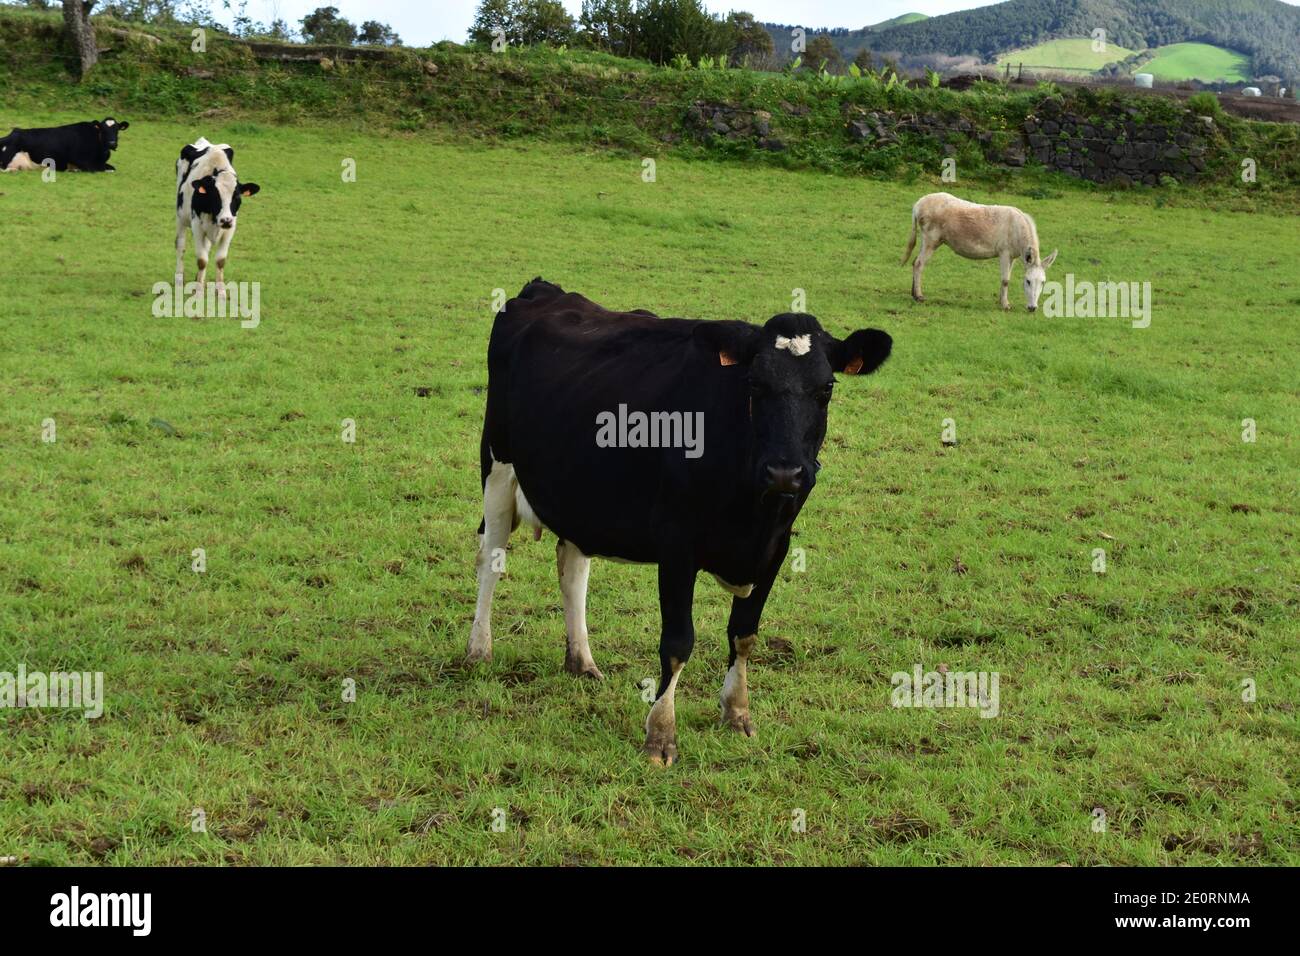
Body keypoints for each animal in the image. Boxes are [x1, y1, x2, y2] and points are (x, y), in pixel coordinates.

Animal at [0, 118, 129, 173]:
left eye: (117, 130)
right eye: (103, 130)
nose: (112, 143)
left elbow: (112, 168)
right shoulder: (81, 160)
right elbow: (97, 170)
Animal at [175, 137, 261, 295]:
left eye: (237, 197)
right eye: (215, 196)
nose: (225, 220)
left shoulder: (231, 228)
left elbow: (220, 260)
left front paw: (220, 291)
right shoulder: (197, 226)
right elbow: (202, 260)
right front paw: (199, 291)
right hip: (181, 217)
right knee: (180, 245)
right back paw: (179, 279)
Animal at [467, 279, 893, 764]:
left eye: (826, 388)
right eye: (754, 383)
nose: (785, 472)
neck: (753, 512)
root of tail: (545, 290)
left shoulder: (776, 547)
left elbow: (744, 635)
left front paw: (737, 712)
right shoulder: (676, 546)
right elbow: (677, 642)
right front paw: (661, 733)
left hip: (577, 489)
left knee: (572, 567)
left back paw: (582, 662)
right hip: (498, 466)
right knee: (491, 559)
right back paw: (479, 650)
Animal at [901, 192, 1058, 311]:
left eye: (1043, 282)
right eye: (1028, 281)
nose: (1032, 308)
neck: (1017, 229)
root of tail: (918, 204)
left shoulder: (1012, 256)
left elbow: (1006, 278)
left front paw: (1002, 301)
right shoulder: (1004, 253)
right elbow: (1005, 280)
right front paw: (1005, 306)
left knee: (915, 262)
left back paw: (913, 294)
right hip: (931, 240)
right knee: (919, 264)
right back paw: (919, 296)